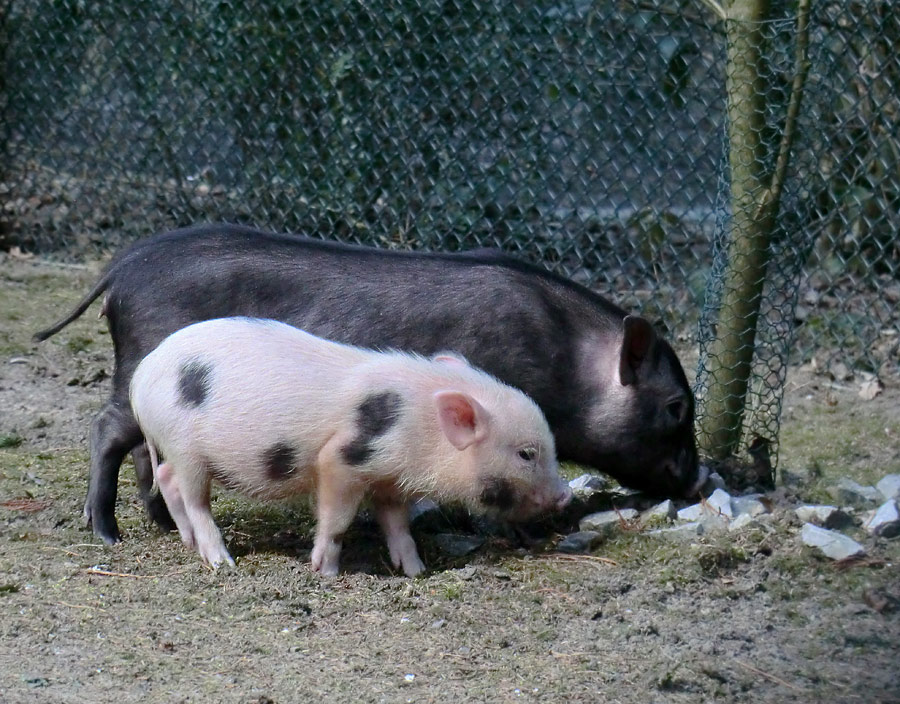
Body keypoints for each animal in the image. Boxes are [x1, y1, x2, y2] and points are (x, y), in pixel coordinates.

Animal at [35, 223, 704, 540]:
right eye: (676, 406)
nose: (699, 480)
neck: (568, 356)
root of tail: (123, 266)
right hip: (138, 372)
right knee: (107, 431)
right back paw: (107, 535)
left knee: (144, 449)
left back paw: (154, 522)